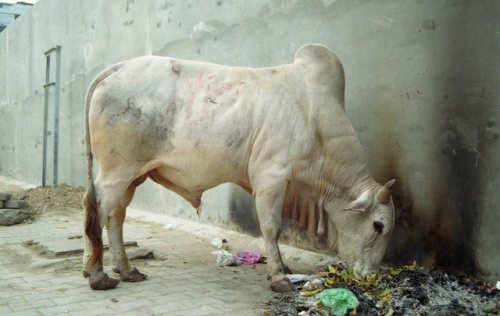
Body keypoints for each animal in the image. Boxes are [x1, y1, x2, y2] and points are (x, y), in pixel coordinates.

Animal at [82, 43, 394, 292]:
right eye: (378, 226)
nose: (371, 275)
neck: (313, 121)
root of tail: (118, 68)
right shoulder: (271, 178)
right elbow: (271, 228)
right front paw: (279, 277)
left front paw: (284, 268)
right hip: (116, 171)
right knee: (96, 208)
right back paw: (98, 276)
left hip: (131, 175)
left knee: (116, 216)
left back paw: (125, 270)